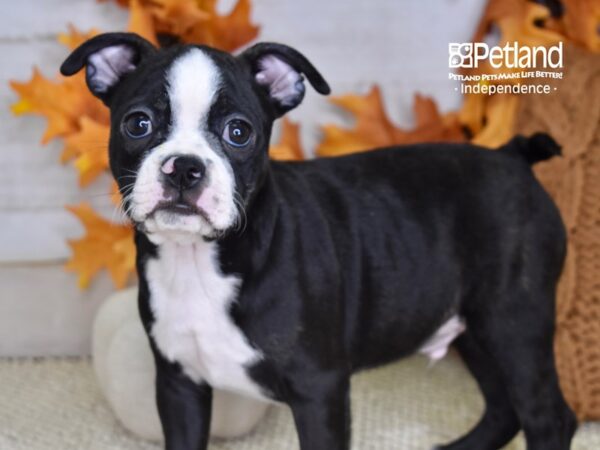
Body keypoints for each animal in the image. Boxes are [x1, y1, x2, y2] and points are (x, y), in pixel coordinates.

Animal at [61, 32, 576, 450]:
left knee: (548, 418)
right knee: (504, 409)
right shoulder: (179, 386)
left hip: (514, 322)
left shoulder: (319, 392)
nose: (185, 167)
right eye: (138, 124)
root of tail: (512, 156)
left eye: (239, 132)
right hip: (475, 326)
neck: (201, 261)